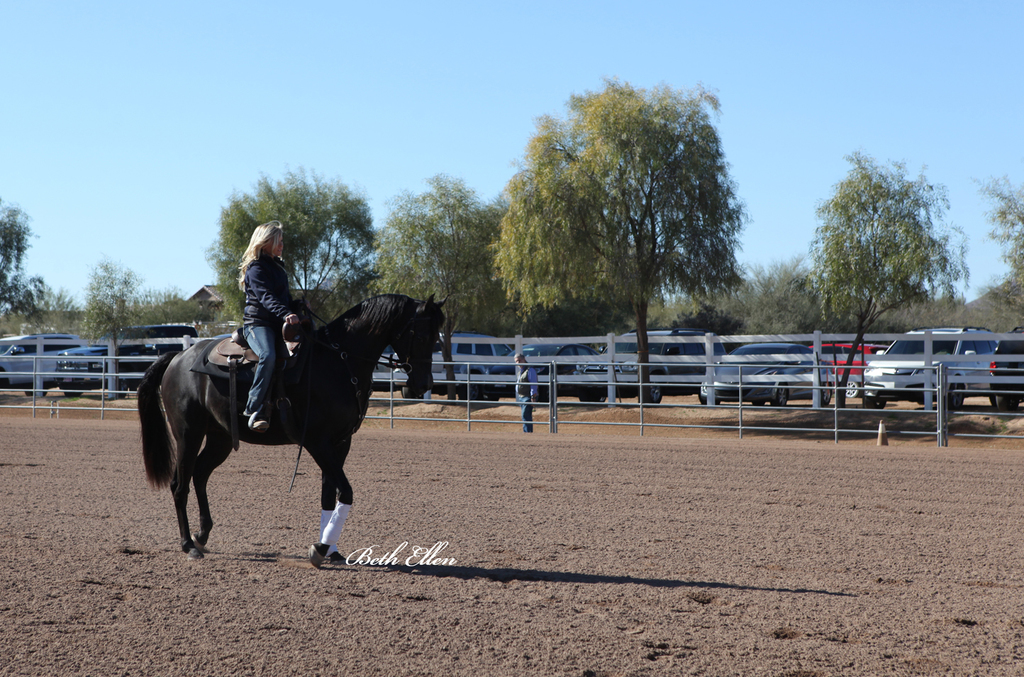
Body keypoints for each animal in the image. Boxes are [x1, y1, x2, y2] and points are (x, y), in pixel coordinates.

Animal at [137, 293, 444, 566]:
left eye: (437, 339)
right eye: (421, 336)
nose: (422, 384)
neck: (339, 362)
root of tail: (178, 357)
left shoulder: (340, 443)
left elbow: (328, 495)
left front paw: (331, 550)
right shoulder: (317, 442)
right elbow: (345, 492)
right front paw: (320, 549)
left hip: (219, 438)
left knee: (200, 475)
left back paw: (201, 536)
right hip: (188, 434)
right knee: (180, 485)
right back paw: (188, 545)